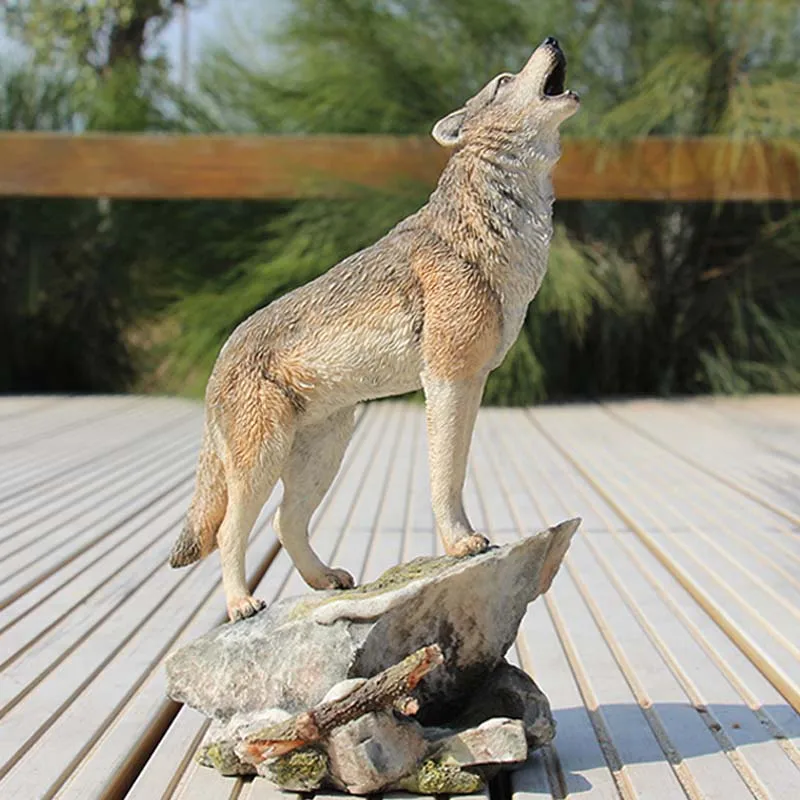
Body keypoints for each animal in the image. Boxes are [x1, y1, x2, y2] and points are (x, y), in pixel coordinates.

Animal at [169, 37, 580, 621]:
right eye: (504, 80)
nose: (552, 40)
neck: (494, 230)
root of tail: (221, 356)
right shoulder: (445, 380)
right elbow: (443, 475)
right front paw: (461, 543)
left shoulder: (472, 383)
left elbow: (456, 469)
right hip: (261, 462)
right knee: (231, 530)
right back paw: (242, 603)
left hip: (324, 453)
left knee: (284, 522)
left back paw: (326, 580)